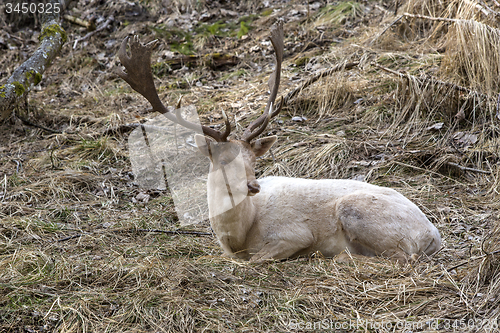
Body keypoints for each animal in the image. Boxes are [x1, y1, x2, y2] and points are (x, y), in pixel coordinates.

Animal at [116, 22, 442, 264]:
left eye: (253, 161)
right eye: (224, 160)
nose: (252, 186)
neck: (238, 236)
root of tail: (433, 234)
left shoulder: (293, 234)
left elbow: (256, 259)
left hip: (360, 213)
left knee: (402, 257)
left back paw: (338, 257)